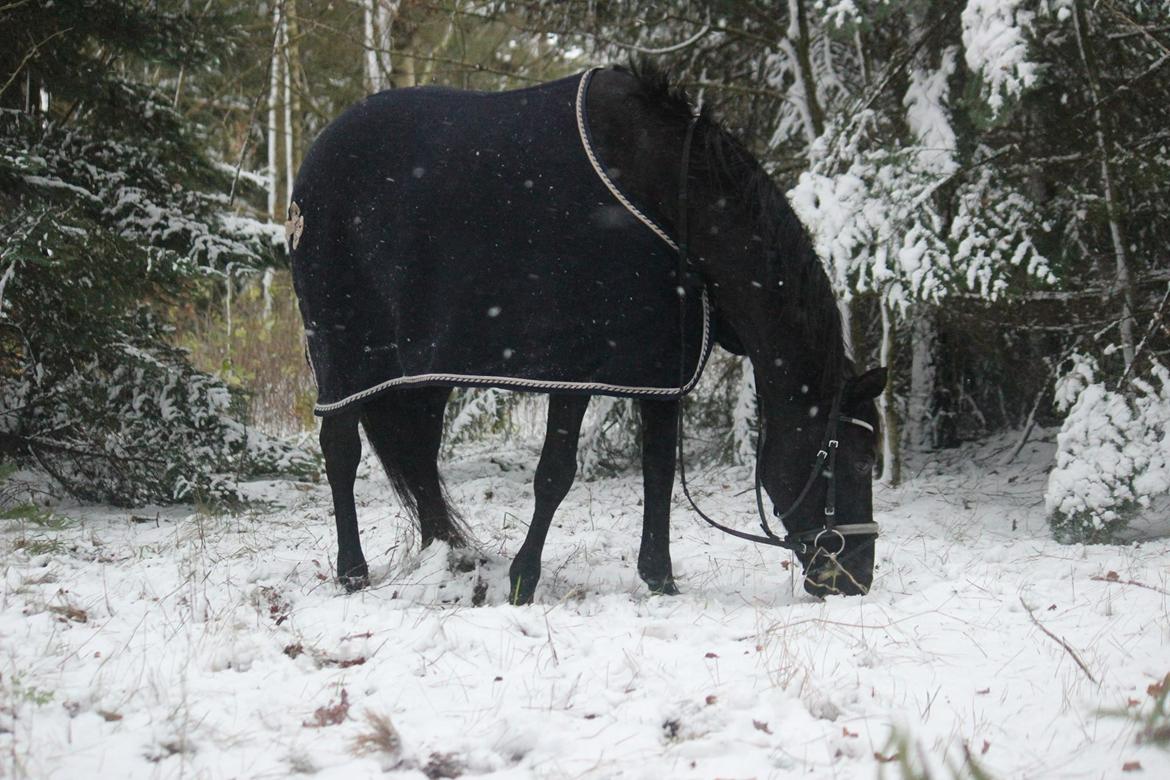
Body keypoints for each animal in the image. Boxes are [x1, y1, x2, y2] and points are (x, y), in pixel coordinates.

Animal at [287, 67, 879, 603]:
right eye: (859, 459)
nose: (856, 580)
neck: (671, 200)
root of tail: (313, 163)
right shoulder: (574, 368)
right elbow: (555, 474)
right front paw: (523, 582)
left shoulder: (657, 369)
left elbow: (658, 471)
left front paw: (660, 580)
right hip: (340, 351)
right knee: (340, 450)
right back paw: (353, 572)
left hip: (423, 371)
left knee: (421, 457)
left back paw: (453, 558)